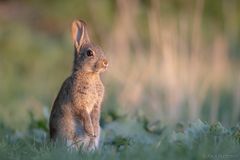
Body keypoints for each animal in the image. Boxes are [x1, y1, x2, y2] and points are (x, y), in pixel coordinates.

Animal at [48, 19, 108, 151]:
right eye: (89, 53)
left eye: (101, 48)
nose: (106, 63)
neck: (90, 74)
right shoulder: (79, 101)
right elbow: (84, 114)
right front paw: (90, 130)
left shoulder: (96, 104)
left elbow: (95, 116)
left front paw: (95, 130)